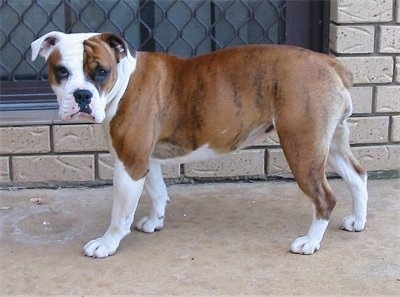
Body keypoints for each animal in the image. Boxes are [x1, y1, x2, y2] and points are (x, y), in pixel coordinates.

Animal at [31, 30, 368, 256]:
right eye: (62, 72)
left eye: (101, 72)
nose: (82, 95)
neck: (124, 79)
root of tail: (330, 64)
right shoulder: (144, 160)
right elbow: (157, 192)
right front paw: (155, 222)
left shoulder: (129, 163)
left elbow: (120, 214)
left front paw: (107, 243)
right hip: (331, 144)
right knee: (357, 176)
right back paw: (357, 221)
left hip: (302, 148)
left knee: (324, 198)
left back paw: (310, 242)